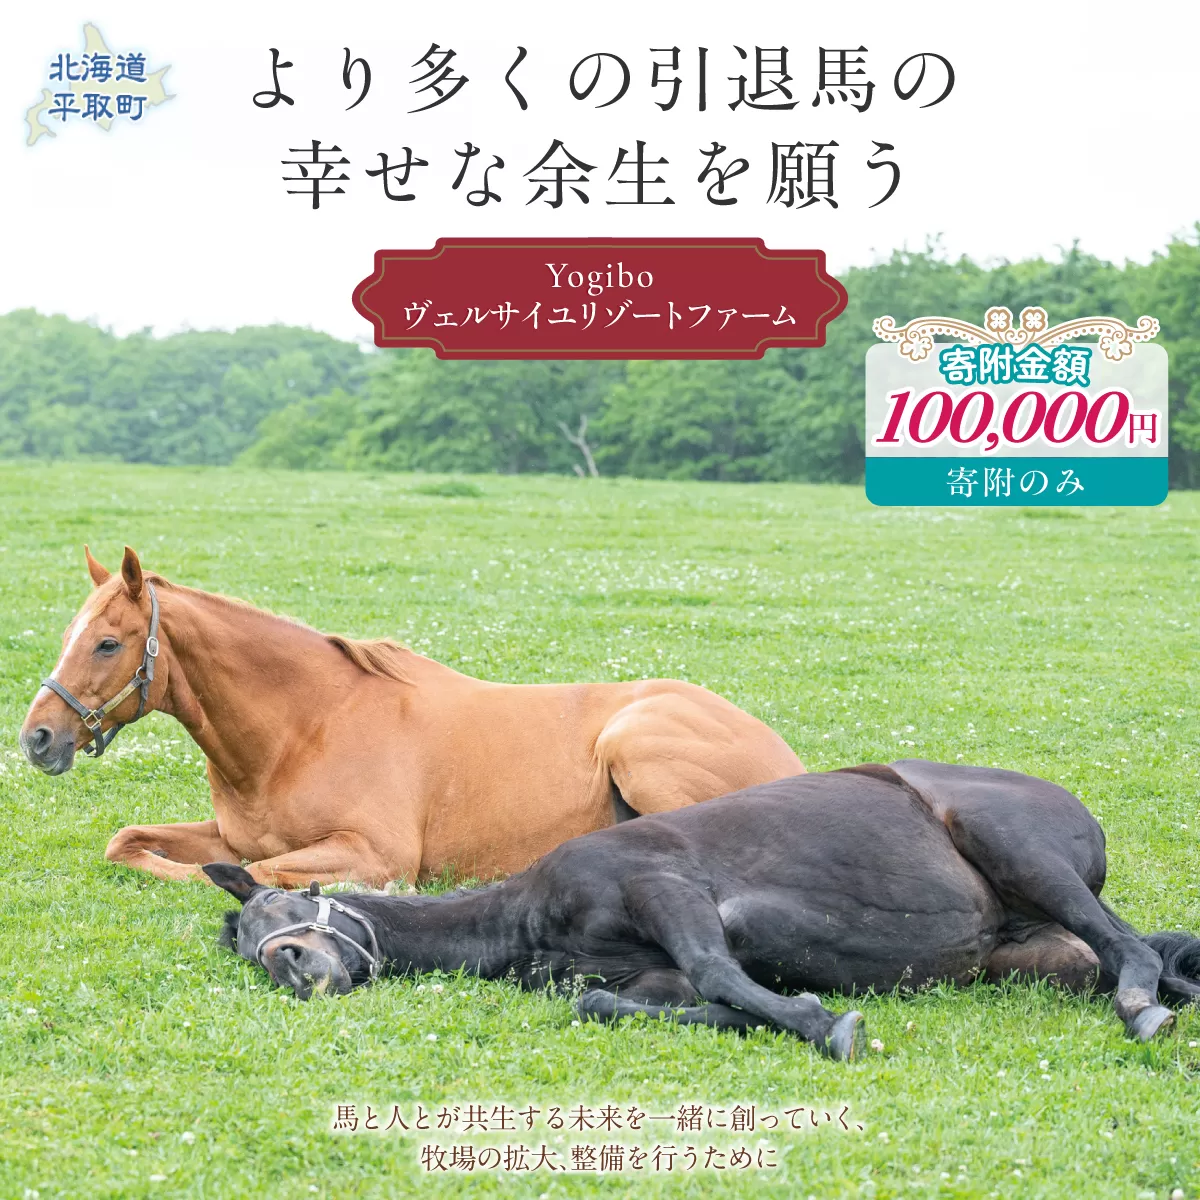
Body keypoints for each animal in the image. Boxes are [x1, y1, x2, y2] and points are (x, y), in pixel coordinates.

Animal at [19, 546, 803, 887]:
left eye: (108, 642)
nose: (37, 737)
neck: (303, 729)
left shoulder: (373, 851)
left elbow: (249, 873)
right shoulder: (229, 833)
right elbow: (130, 843)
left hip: (635, 745)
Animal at [205, 760, 1199, 1059]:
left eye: (291, 903)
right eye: (250, 944)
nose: (295, 964)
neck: (527, 914)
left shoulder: (668, 890)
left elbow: (722, 969)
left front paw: (826, 1025)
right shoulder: (647, 977)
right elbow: (609, 1001)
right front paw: (776, 1016)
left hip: (1017, 849)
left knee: (1132, 954)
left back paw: (1142, 1009)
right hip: (1040, 956)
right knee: (1137, 955)